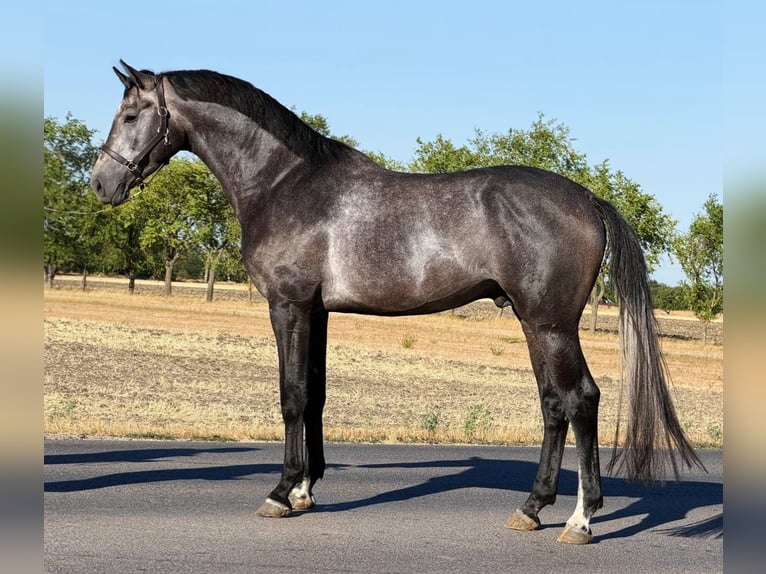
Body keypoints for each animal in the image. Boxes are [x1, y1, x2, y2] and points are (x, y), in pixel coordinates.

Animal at [90, 61, 704, 544]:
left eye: (130, 116)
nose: (100, 184)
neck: (286, 183)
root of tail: (588, 198)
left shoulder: (289, 306)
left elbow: (291, 397)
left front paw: (280, 492)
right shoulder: (318, 312)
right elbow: (315, 397)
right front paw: (306, 490)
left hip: (552, 324)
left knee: (581, 400)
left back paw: (580, 520)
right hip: (534, 323)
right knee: (554, 405)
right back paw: (531, 509)